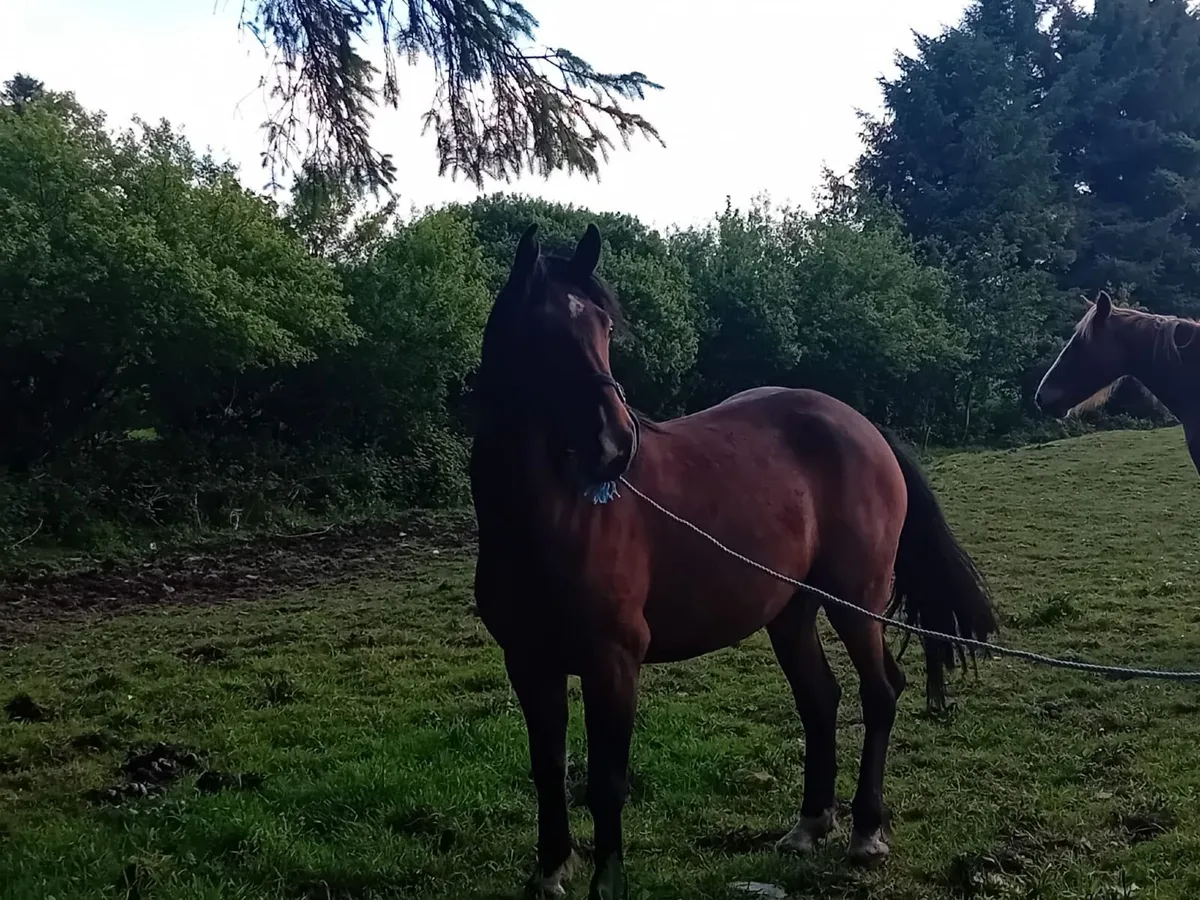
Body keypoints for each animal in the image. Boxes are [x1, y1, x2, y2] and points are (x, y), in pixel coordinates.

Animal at [470, 222, 998, 900]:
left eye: (604, 326)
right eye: (540, 330)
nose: (615, 445)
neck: (551, 515)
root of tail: (862, 426)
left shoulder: (613, 662)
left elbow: (607, 782)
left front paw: (606, 882)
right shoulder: (528, 662)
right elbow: (547, 768)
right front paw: (551, 868)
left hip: (855, 602)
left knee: (881, 691)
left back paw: (865, 832)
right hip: (790, 610)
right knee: (819, 699)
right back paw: (809, 825)